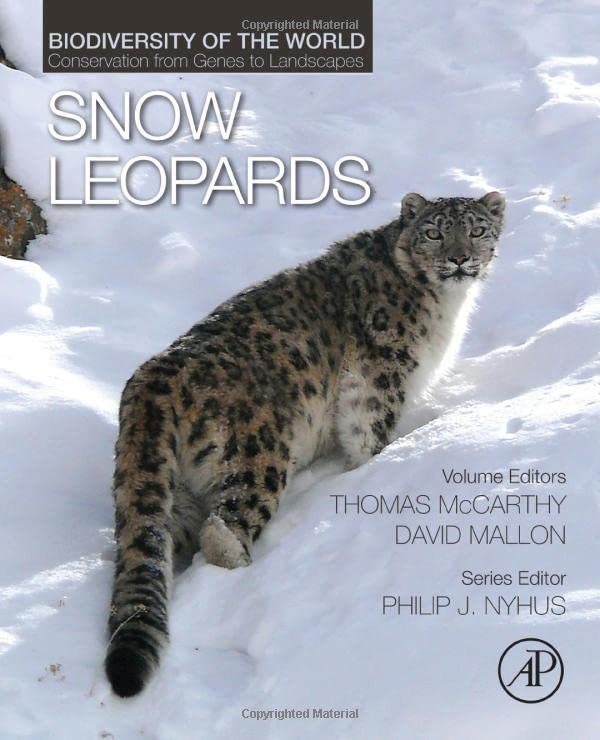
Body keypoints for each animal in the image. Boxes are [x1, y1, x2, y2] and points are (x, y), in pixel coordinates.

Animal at [105, 191, 505, 697]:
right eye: (434, 233)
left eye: (477, 230)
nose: (459, 259)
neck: (445, 308)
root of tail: (150, 379)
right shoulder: (379, 379)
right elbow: (369, 434)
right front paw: (389, 456)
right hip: (259, 453)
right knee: (222, 529)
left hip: (168, 494)